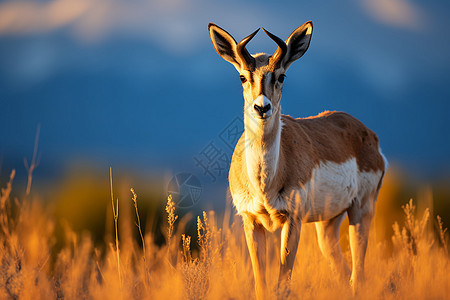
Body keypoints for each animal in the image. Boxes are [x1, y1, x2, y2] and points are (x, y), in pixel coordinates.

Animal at [208, 21, 386, 298]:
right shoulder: (251, 222)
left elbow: (282, 285)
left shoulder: (293, 220)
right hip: (328, 225)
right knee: (343, 271)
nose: (262, 107)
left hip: (361, 211)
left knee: (359, 275)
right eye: (242, 77)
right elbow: (261, 284)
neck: (266, 184)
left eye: (281, 76)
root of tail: (369, 135)